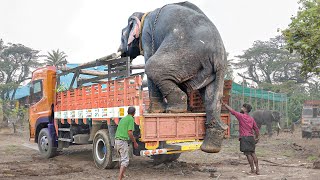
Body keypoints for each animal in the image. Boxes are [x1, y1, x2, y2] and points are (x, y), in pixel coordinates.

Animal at [119, 1, 229, 153]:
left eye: (121, 35)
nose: (121, 53)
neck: (143, 14)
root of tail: (218, 53)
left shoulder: (147, 33)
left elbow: (149, 57)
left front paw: (154, 111)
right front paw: (184, 110)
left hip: (185, 53)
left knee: (153, 66)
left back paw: (173, 110)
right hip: (209, 69)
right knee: (211, 96)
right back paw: (210, 147)